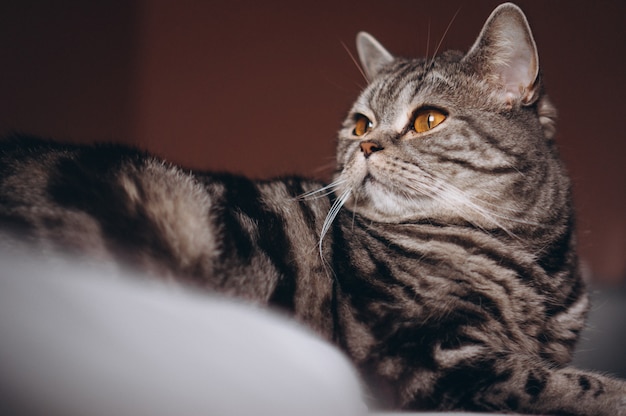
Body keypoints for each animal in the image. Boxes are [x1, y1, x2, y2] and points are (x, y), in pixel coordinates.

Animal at [1, 3, 624, 416]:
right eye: (361, 125)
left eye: (428, 119)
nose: (367, 147)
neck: (530, 263)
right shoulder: (423, 357)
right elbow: (566, 383)